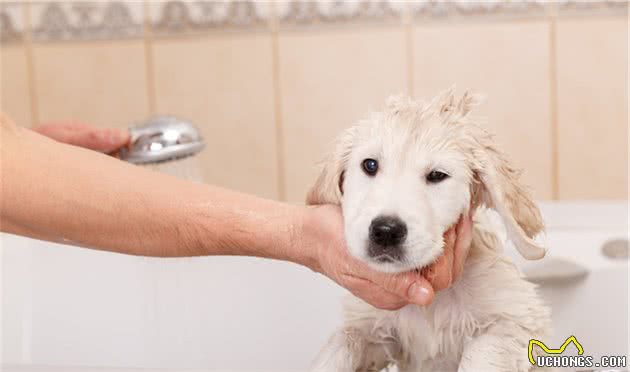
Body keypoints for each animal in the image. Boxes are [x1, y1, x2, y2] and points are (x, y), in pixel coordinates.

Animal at [308, 91, 552, 372]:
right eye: (369, 165)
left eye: (437, 175)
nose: (386, 231)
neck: (431, 302)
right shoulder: (371, 329)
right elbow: (341, 344)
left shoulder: (513, 321)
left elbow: (479, 355)